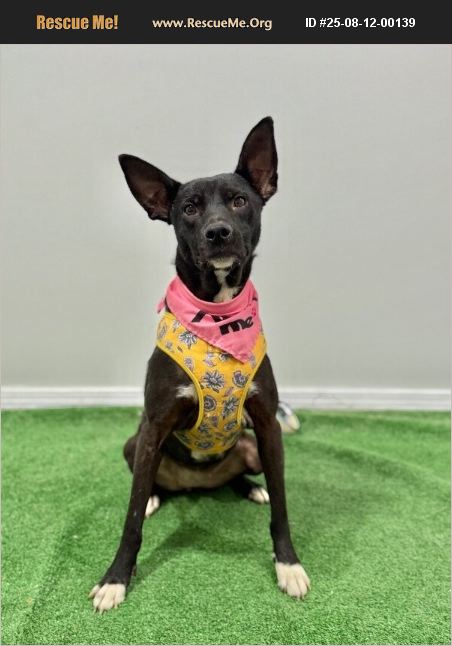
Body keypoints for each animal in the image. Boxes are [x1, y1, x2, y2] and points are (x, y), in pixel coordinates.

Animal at [90, 117, 310, 612]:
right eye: (189, 209)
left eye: (239, 200)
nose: (218, 232)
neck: (217, 317)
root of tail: (196, 483)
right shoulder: (154, 426)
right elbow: (131, 518)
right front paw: (116, 579)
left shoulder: (267, 425)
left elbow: (284, 506)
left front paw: (288, 565)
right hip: (135, 444)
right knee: (147, 486)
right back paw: (158, 495)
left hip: (249, 445)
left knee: (245, 475)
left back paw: (251, 487)